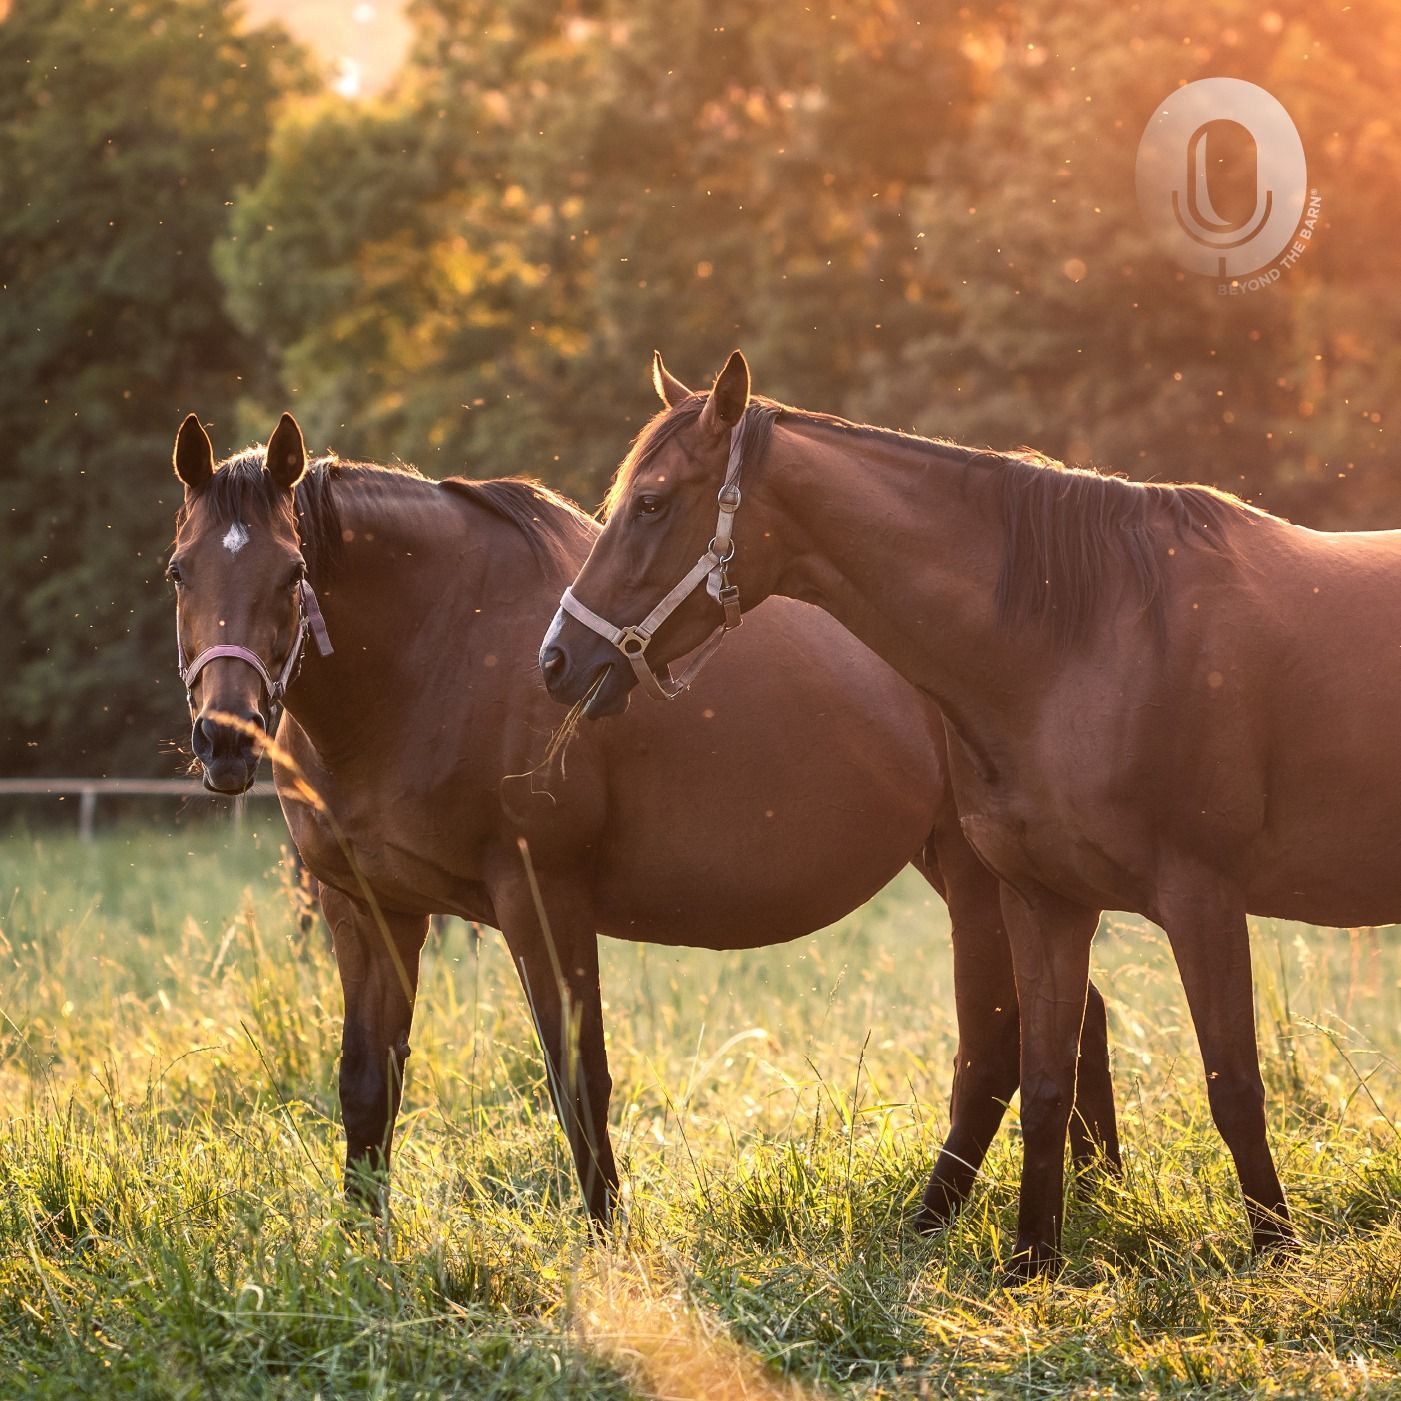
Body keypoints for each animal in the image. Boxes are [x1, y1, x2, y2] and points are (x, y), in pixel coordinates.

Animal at [166, 411, 1120, 1227]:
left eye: (294, 574)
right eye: (180, 572)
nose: (226, 737)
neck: (436, 650)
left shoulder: (541, 898)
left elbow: (577, 1080)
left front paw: (608, 1250)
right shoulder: (367, 908)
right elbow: (367, 1086)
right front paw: (366, 1251)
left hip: (977, 877)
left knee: (996, 1044)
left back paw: (936, 1223)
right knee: (1074, 1020)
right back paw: (1098, 1192)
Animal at [541, 349, 1395, 1277]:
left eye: (653, 501)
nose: (556, 659)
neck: (1087, 638)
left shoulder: (1202, 899)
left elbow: (1231, 1084)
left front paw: (1277, 1257)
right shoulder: (1044, 901)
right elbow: (1048, 1081)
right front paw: (1032, 1264)